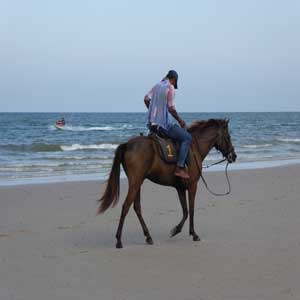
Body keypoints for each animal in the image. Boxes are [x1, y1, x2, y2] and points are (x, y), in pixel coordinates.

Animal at [98, 118, 237, 247]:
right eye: (228, 137)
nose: (234, 156)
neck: (194, 148)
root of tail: (127, 144)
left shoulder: (180, 188)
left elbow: (185, 211)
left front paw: (176, 230)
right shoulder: (193, 185)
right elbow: (191, 209)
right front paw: (193, 234)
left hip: (137, 183)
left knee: (137, 207)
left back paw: (148, 236)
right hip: (135, 183)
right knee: (126, 206)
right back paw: (119, 240)